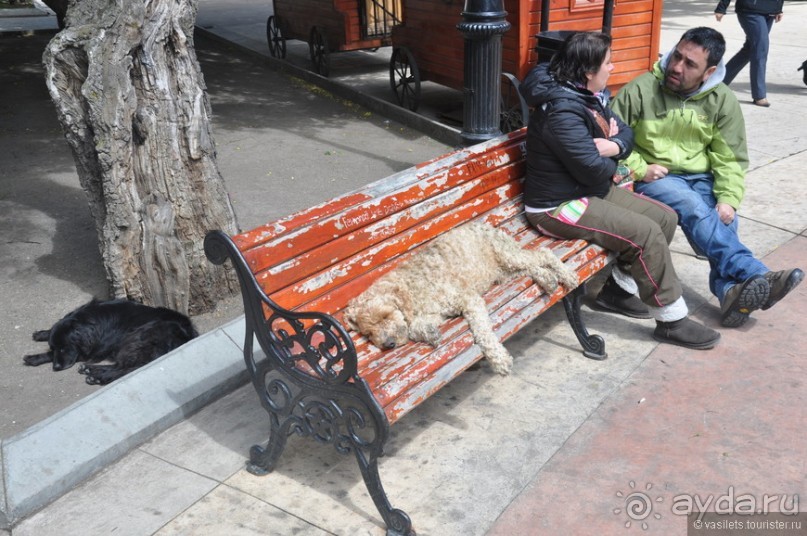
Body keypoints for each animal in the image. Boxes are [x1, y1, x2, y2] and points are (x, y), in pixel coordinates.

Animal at [23, 298, 197, 386]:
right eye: (54, 348)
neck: (90, 320)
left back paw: (98, 376)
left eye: (65, 348)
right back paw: (92, 371)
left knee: (128, 368)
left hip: (139, 337)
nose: (57, 367)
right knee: (125, 366)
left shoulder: (92, 350)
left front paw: (34, 357)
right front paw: (42, 333)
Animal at [344, 221, 576, 372]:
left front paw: (499, 360)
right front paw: (430, 333)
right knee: (532, 267)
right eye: (368, 332)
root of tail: (487, 224)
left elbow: (483, 333)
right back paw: (548, 279)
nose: (388, 344)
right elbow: (415, 327)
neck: (411, 291)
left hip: (508, 256)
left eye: (385, 315)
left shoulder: (467, 299)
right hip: (503, 271)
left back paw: (567, 275)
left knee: (543, 253)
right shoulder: (435, 312)